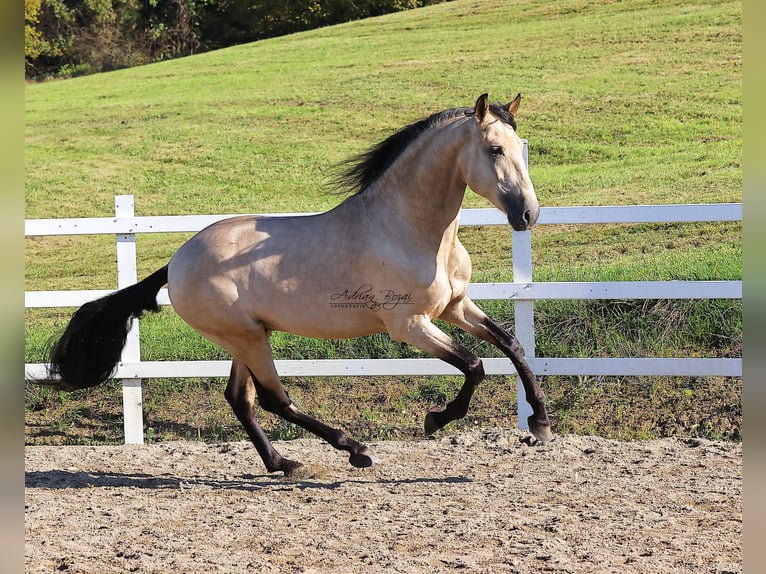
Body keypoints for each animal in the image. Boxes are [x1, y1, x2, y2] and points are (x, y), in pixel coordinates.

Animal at [42, 94, 556, 480]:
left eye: (521, 145)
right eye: (494, 149)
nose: (528, 214)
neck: (408, 230)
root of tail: (175, 262)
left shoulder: (456, 307)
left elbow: (512, 346)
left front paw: (540, 422)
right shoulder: (410, 325)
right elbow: (474, 366)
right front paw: (436, 420)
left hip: (248, 337)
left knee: (241, 400)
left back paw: (283, 462)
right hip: (246, 337)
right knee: (273, 399)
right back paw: (354, 449)